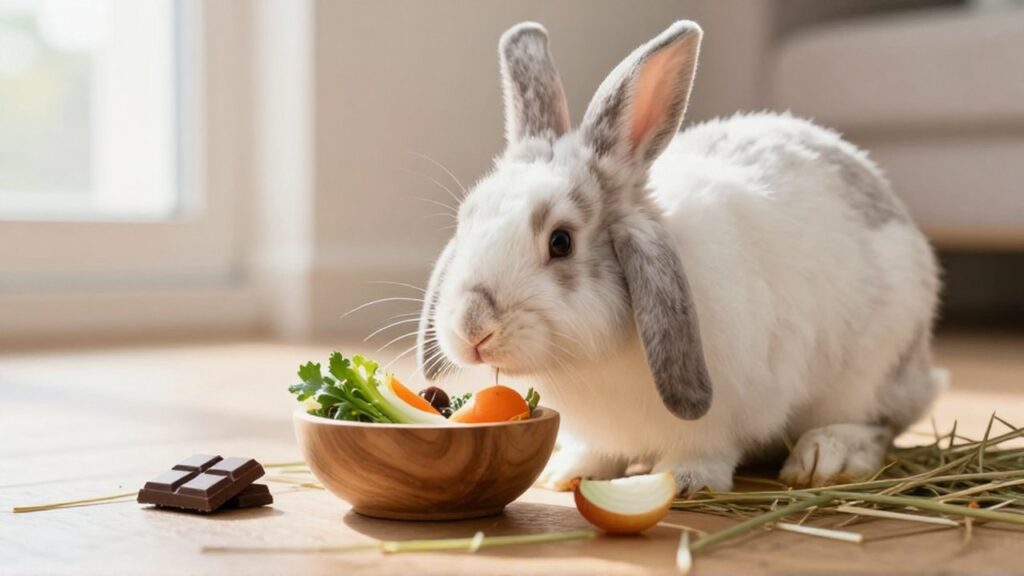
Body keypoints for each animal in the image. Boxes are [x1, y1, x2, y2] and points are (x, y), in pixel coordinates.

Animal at [416, 20, 943, 493]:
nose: (472, 327)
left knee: (880, 424)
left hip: (871, 368)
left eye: (560, 241)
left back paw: (825, 456)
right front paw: (567, 474)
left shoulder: (723, 414)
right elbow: (596, 451)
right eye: (467, 218)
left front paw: (685, 480)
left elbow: (706, 449)